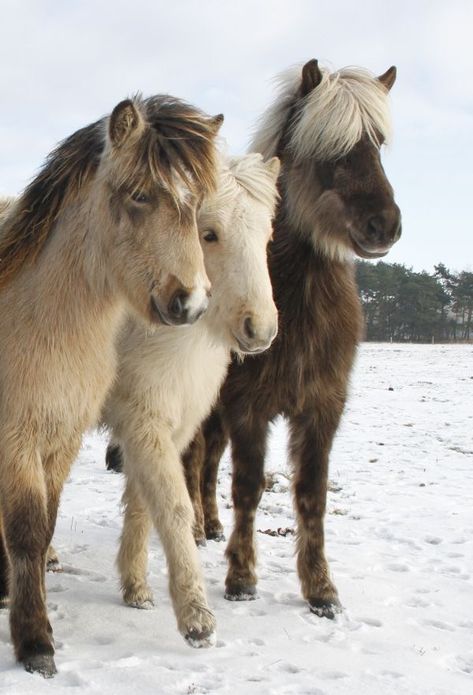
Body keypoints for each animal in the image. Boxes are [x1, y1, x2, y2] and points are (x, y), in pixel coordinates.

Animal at [0, 95, 221, 676]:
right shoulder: (16, 438)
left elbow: (45, 527)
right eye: (140, 195)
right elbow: (26, 531)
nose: (191, 302)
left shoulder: (61, 439)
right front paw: (36, 643)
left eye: (197, 207)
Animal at [102, 151, 280, 648]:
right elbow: (175, 507)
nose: (260, 329)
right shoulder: (144, 423)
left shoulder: (169, 426)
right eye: (209, 233)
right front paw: (196, 617)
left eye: (267, 236)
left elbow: (144, 503)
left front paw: (136, 588)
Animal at [180, 57, 398, 616]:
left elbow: (311, 493)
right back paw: (197, 528)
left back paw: (210, 525)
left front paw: (321, 588)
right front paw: (241, 577)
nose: (384, 225)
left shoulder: (322, 407)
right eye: (326, 146)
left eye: (378, 144)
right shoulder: (248, 408)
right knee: (194, 460)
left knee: (207, 464)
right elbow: (249, 488)